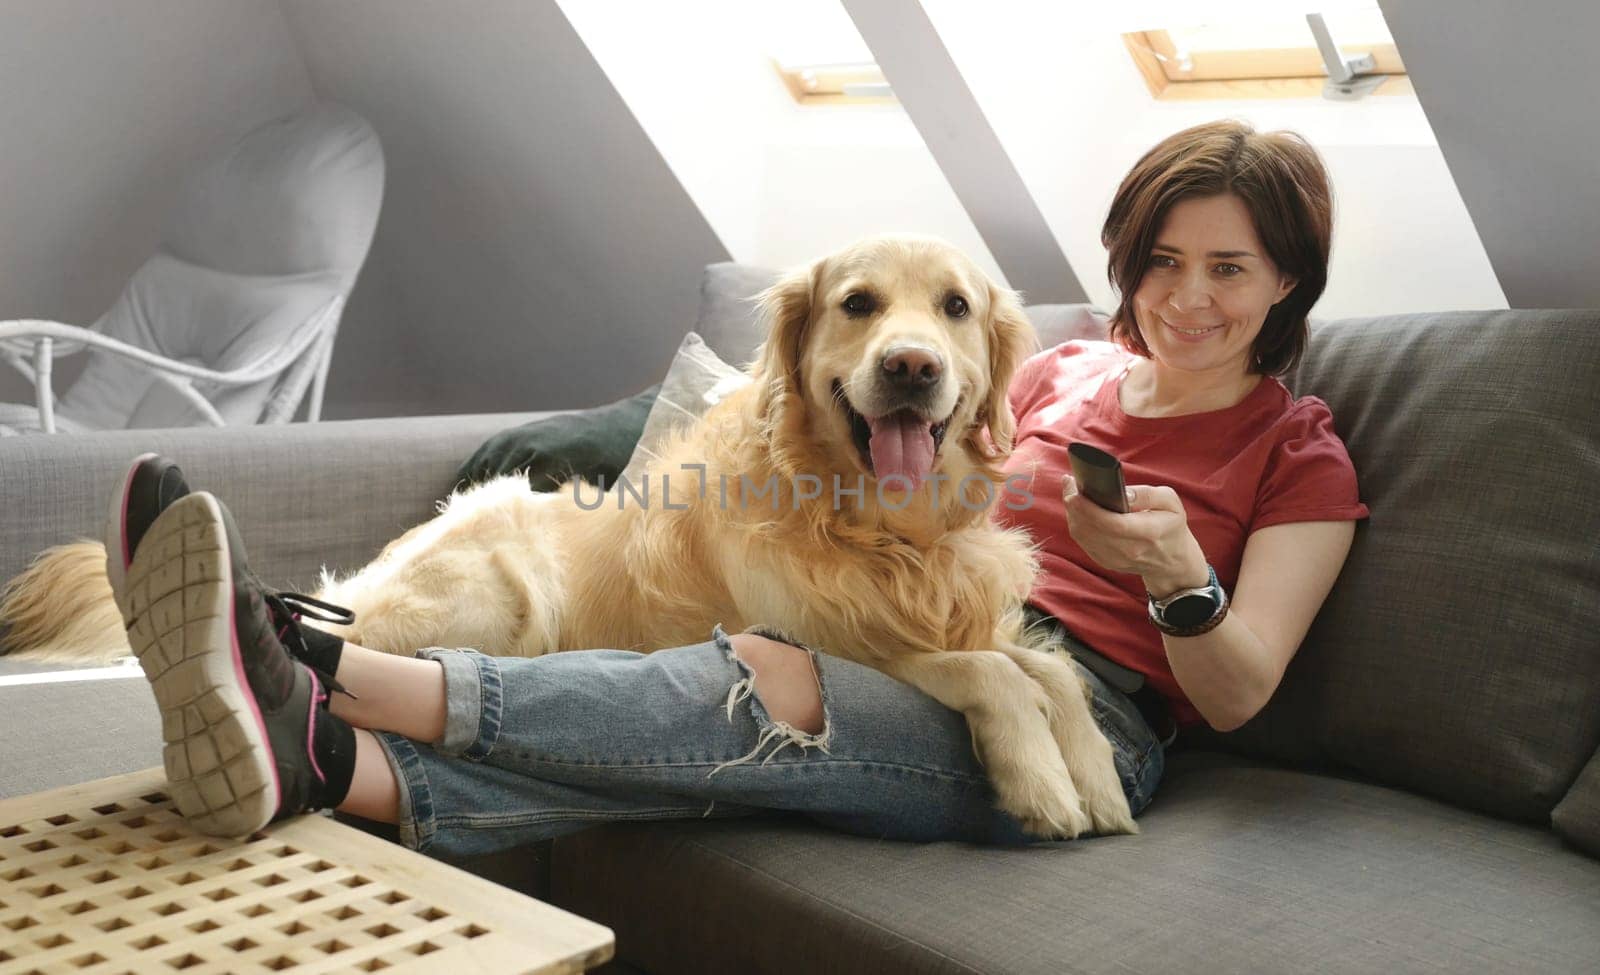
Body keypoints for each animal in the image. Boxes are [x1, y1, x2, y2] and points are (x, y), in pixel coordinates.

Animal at [9, 233, 1139, 838]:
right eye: (859, 304)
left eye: (954, 308)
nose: (911, 367)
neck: (880, 531)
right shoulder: (829, 638)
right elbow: (991, 674)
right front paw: (1043, 781)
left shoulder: (977, 614)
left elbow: (1052, 670)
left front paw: (1090, 772)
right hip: (505, 585)